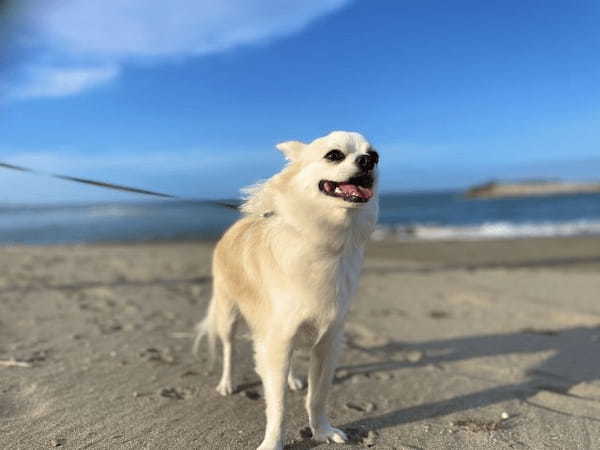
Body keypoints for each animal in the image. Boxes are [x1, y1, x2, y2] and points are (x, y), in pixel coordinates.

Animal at [195, 131, 378, 450]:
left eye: (375, 155)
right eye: (334, 155)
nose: (369, 160)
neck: (326, 241)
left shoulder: (326, 342)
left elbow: (318, 396)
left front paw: (322, 431)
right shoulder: (277, 340)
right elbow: (277, 405)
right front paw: (273, 443)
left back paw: (292, 380)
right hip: (229, 312)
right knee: (229, 349)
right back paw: (227, 383)